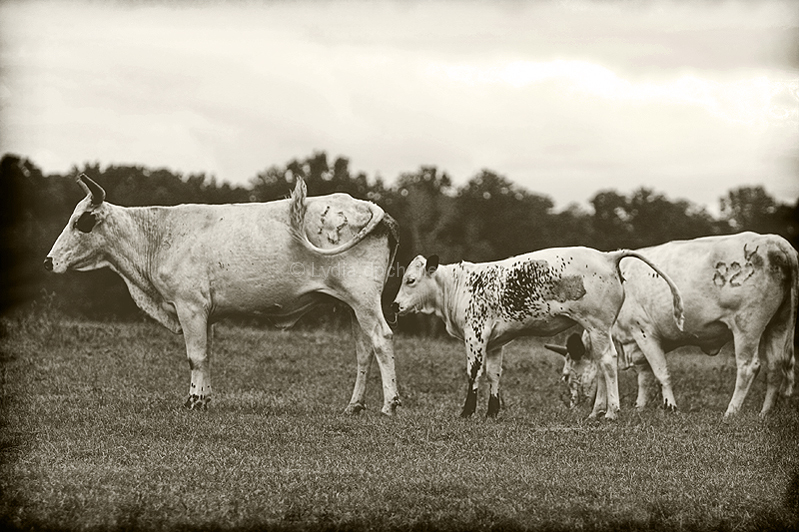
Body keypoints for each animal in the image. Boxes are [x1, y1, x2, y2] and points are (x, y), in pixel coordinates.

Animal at [43, 175, 400, 416]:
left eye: (82, 222)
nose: (48, 261)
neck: (157, 235)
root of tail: (365, 205)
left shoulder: (190, 306)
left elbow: (196, 356)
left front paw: (195, 401)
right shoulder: (205, 313)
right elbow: (207, 355)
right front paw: (202, 397)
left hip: (364, 299)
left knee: (382, 339)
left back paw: (390, 404)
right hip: (354, 305)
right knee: (364, 350)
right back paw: (354, 405)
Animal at [390, 246, 684, 420]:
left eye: (411, 280)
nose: (394, 305)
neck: (459, 286)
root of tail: (606, 255)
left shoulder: (476, 335)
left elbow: (474, 372)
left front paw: (467, 411)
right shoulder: (496, 342)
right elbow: (494, 374)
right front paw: (492, 411)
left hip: (597, 324)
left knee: (609, 362)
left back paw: (611, 412)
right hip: (599, 329)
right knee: (601, 365)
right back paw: (596, 411)